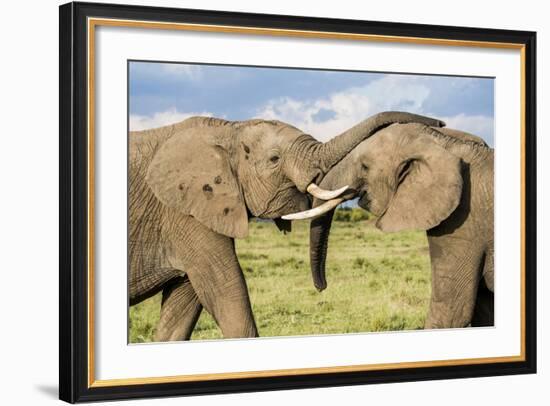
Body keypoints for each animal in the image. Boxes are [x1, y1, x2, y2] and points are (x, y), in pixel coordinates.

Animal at [127, 111, 446, 340]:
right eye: (274, 159)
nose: (440, 123)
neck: (227, 128)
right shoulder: (184, 214)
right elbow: (228, 293)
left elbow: (184, 307)